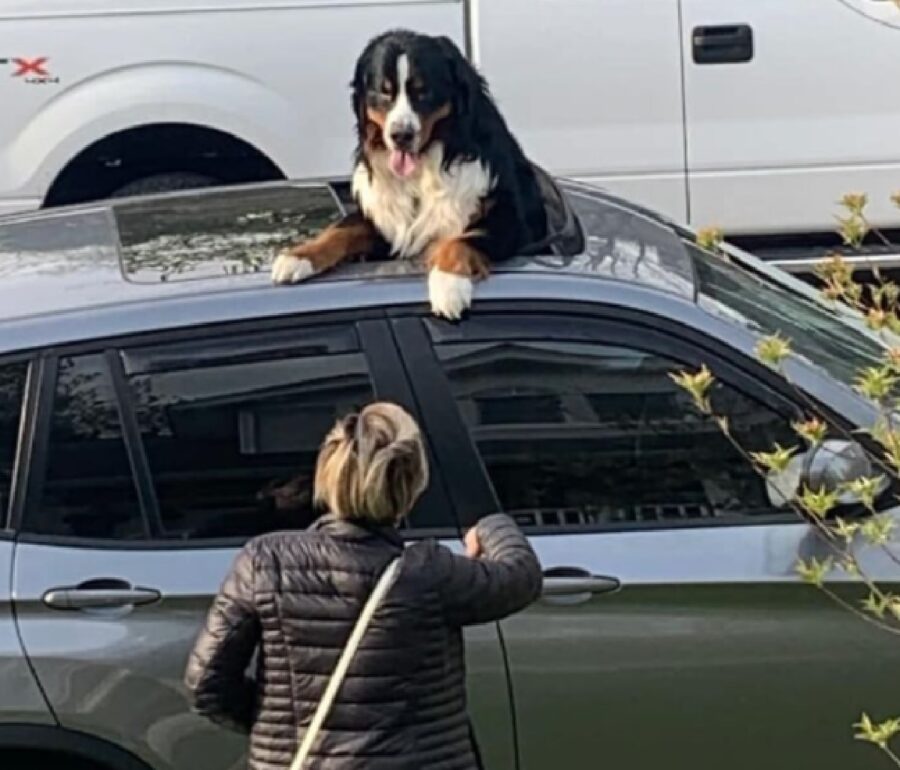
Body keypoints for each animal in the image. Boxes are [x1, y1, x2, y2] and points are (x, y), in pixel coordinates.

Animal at [268, 29, 548, 318]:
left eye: (423, 92)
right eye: (384, 92)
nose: (401, 135)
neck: (424, 169)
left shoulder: (510, 221)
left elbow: (463, 240)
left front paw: (448, 285)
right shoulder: (383, 220)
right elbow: (341, 228)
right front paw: (297, 256)